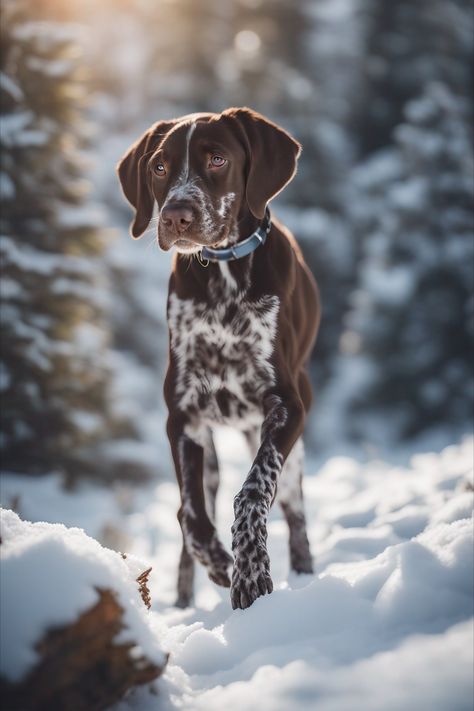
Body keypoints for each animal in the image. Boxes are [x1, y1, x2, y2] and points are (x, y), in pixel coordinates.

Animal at [116, 107, 320, 612]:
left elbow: (253, 491)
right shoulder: (183, 417)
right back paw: (186, 597)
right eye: (159, 167)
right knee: (196, 508)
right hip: (208, 453)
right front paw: (221, 564)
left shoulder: (288, 407)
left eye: (217, 158)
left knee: (294, 512)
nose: (176, 215)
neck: (223, 276)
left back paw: (303, 575)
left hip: (290, 449)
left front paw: (251, 571)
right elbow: (189, 515)